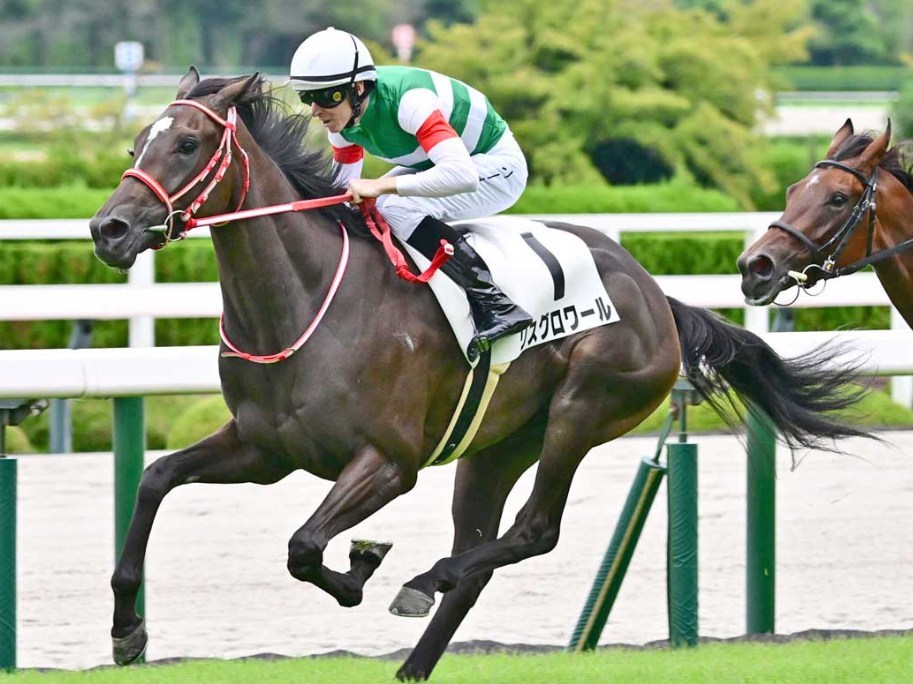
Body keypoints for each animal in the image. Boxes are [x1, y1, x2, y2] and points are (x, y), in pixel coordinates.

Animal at [89, 69, 874, 681]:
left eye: (187, 144)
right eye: (136, 144)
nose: (109, 229)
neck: (306, 300)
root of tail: (656, 293)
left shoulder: (389, 463)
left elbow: (305, 547)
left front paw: (362, 569)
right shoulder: (265, 448)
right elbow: (156, 479)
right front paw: (127, 631)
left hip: (581, 412)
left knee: (531, 532)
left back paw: (421, 578)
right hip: (495, 447)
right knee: (479, 561)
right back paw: (414, 656)